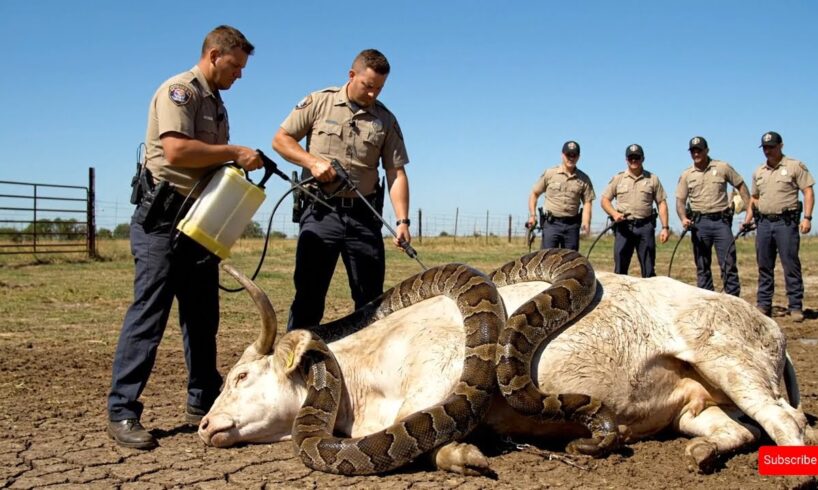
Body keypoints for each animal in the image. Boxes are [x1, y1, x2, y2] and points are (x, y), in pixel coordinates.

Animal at [199, 254, 810, 475]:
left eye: (241, 376)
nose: (203, 425)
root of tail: (771, 323)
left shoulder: (441, 392)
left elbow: (437, 436)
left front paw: (468, 454)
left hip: (734, 364)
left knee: (790, 425)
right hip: (696, 405)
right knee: (733, 430)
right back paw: (703, 452)